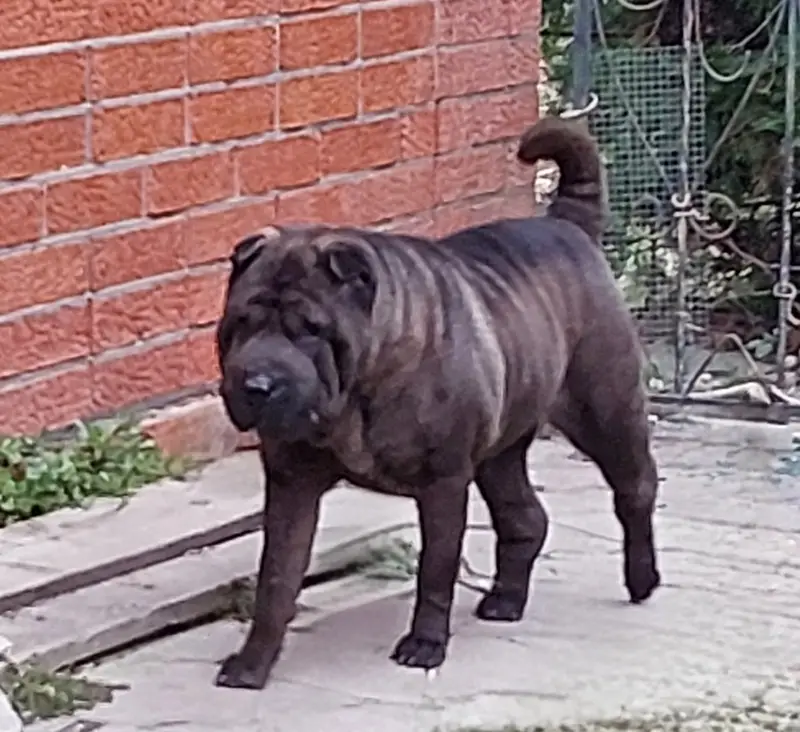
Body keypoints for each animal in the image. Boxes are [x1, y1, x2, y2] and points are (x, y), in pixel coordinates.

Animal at [214, 117, 661, 690]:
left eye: (310, 329)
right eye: (241, 323)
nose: (258, 383)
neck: (358, 391)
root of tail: (569, 225)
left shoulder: (443, 482)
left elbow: (436, 569)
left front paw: (425, 644)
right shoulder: (293, 482)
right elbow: (277, 576)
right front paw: (252, 664)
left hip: (604, 409)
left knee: (634, 488)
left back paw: (642, 578)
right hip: (501, 451)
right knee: (525, 518)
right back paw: (505, 600)